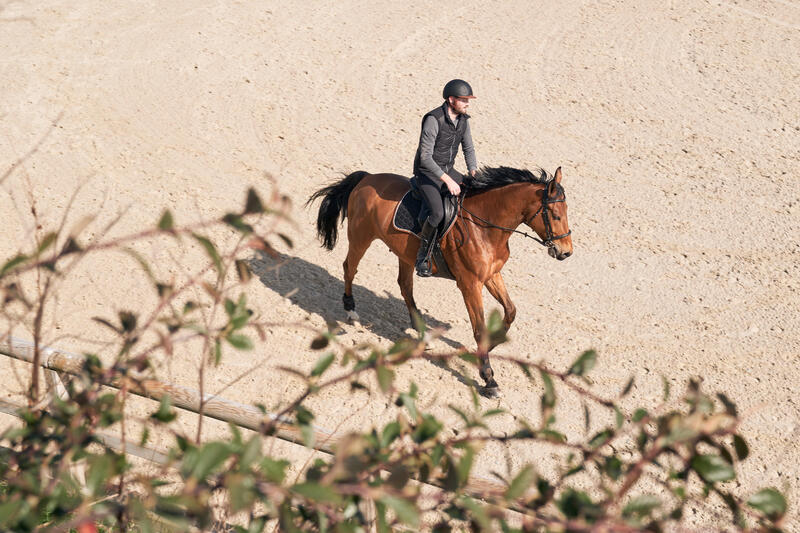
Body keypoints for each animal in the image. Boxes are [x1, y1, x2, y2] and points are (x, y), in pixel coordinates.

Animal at [308, 166, 576, 394]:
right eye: (554, 214)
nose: (566, 252)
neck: (484, 227)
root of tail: (367, 178)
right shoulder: (470, 284)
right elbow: (479, 328)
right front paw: (488, 377)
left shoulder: (491, 275)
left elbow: (510, 310)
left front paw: (491, 346)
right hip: (361, 236)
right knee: (349, 269)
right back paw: (351, 311)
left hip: (404, 253)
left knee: (405, 287)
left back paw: (422, 334)